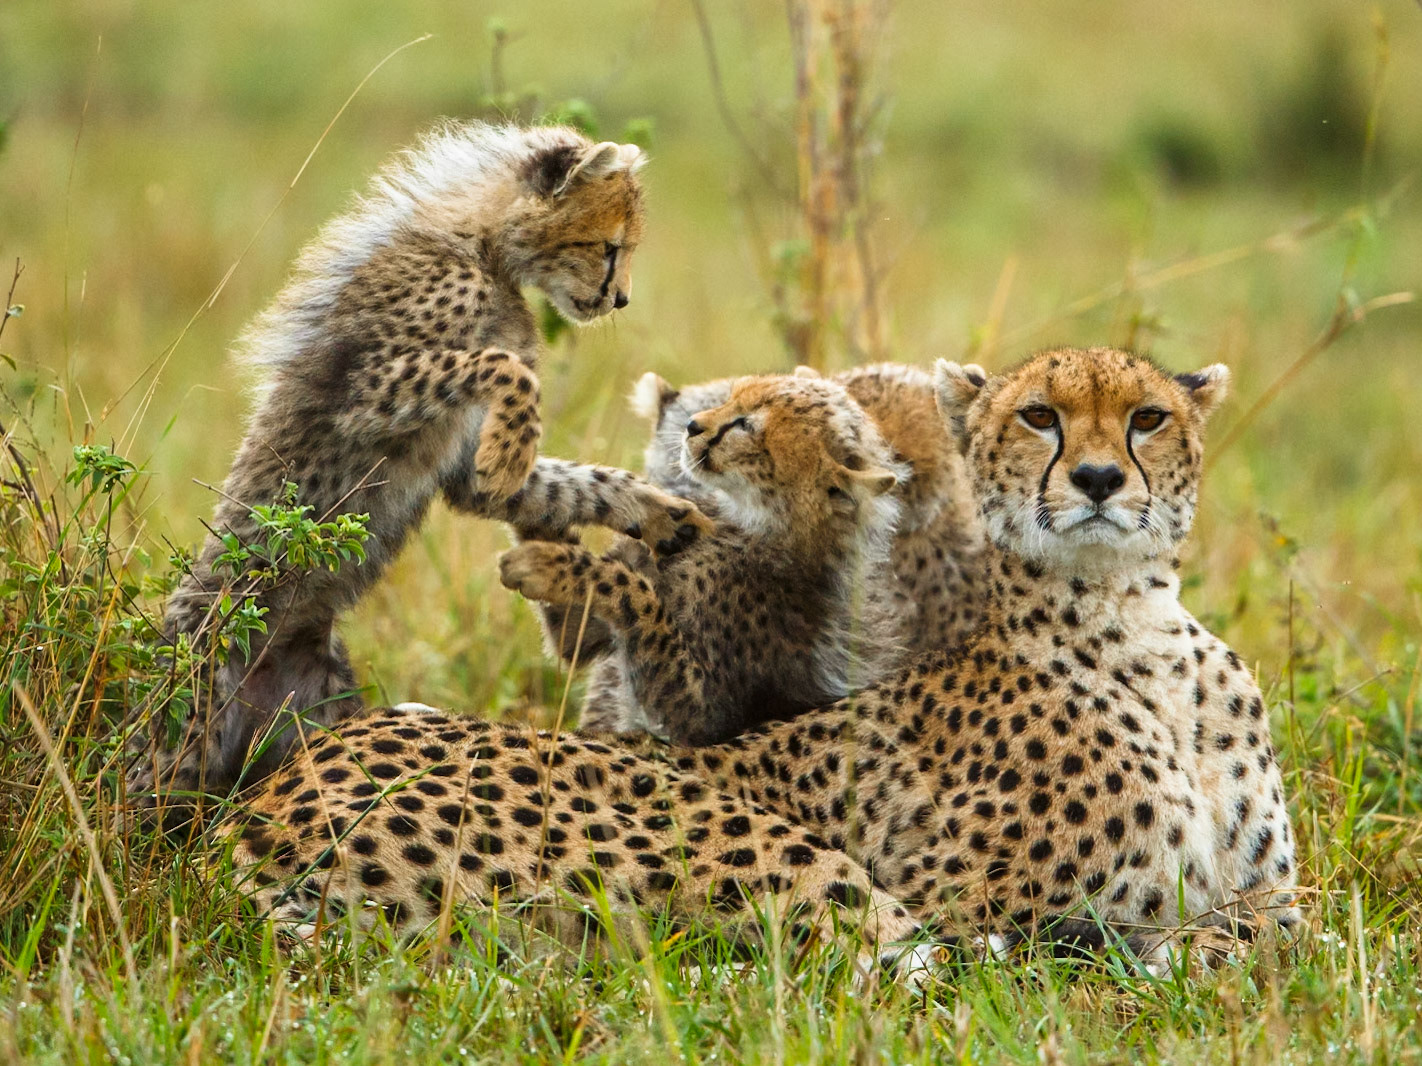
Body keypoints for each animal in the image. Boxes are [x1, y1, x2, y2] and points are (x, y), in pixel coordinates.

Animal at [128, 120, 710, 819]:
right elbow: (502, 367)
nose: (619, 298)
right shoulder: (362, 395)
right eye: (608, 246)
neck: (484, 249)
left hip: (318, 715)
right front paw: (512, 455)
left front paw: (663, 513)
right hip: (187, 720)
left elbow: (570, 484)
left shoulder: (457, 462)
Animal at [499, 372, 912, 746]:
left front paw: (544, 564)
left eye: (745, 425)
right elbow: (577, 624)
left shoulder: (700, 722)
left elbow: (634, 592)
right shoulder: (581, 630)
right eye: (732, 398)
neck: (749, 518)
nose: (692, 425)